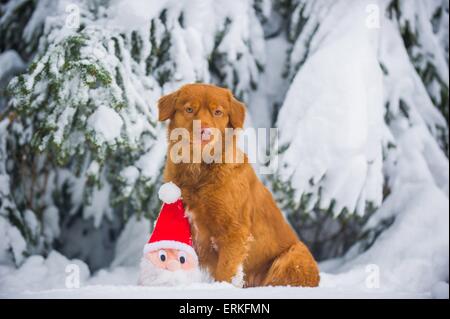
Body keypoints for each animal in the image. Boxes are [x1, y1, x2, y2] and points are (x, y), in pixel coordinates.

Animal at [158, 83, 320, 288]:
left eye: (217, 112)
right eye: (189, 109)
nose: (205, 131)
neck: (199, 171)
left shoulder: (234, 231)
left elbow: (225, 271)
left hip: (294, 253)